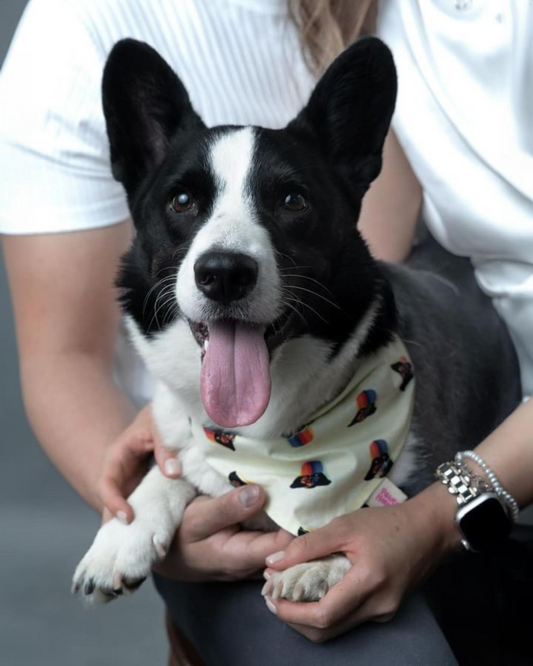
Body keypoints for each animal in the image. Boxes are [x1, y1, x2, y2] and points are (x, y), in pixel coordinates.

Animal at [72, 39, 516, 604]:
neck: (267, 442)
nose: (224, 273)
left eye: (292, 200)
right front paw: (122, 533)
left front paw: (322, 553)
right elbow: (171, 464)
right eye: (182, 200)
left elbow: (353, 508)